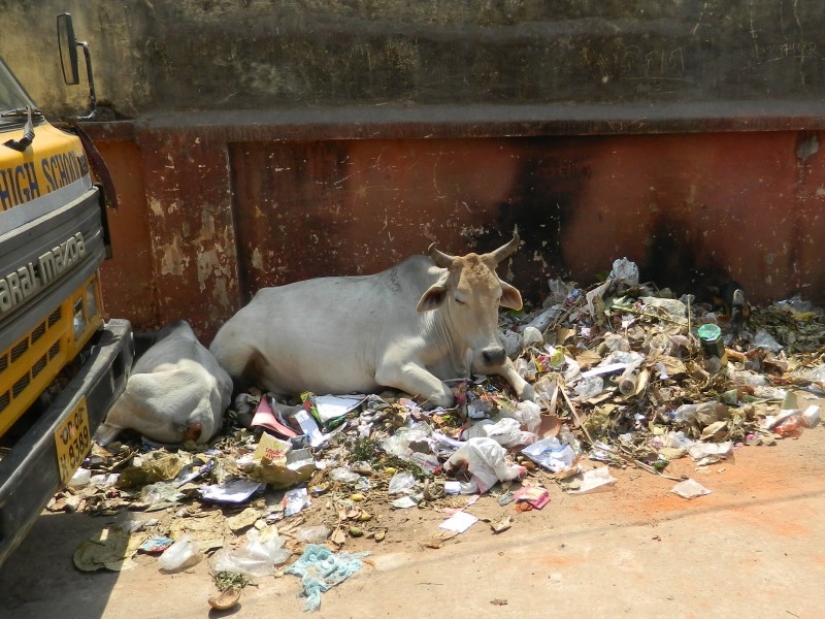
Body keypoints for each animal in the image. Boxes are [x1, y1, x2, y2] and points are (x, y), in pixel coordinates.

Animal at [209, 233, 535, 409]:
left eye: (497, 296)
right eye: (459, 298)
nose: (493, 351)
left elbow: (513, 370)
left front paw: (524, 388)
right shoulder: (394, 365)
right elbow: (445, 395)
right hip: (236, 353)